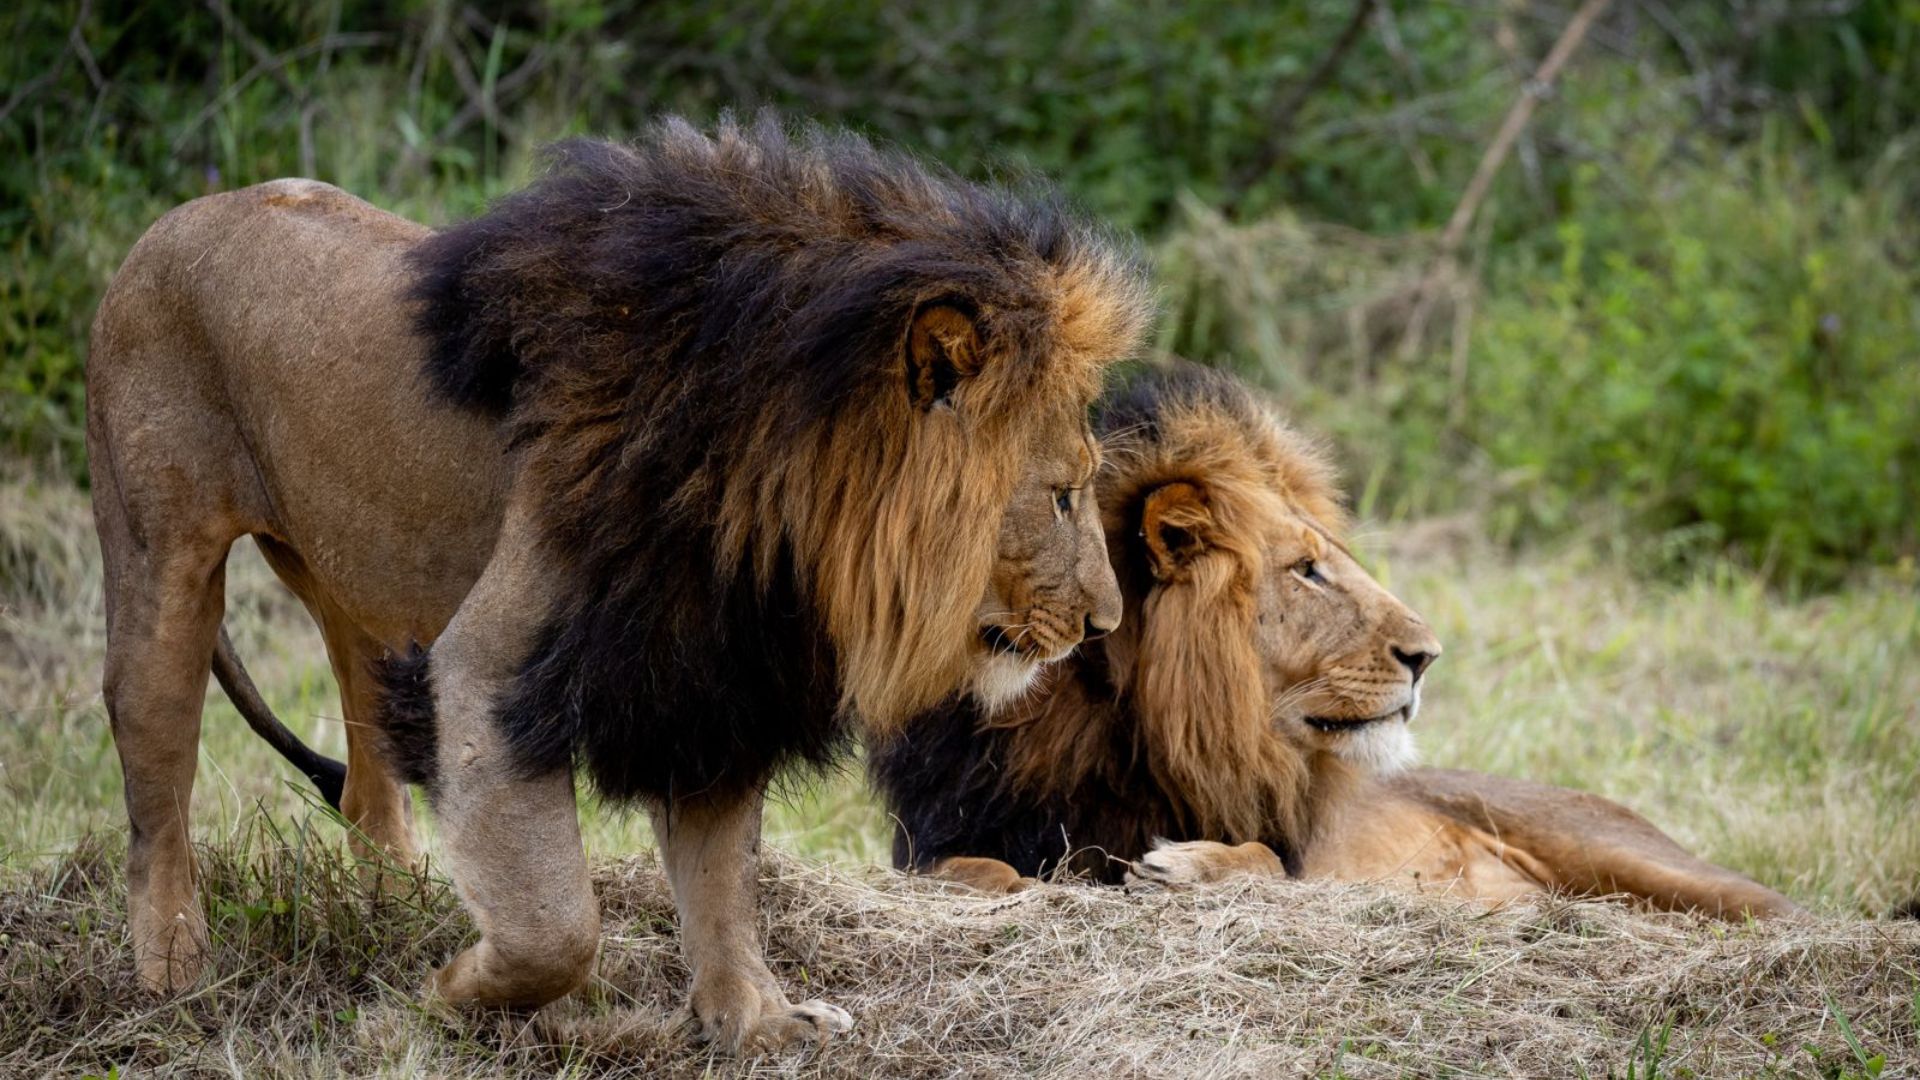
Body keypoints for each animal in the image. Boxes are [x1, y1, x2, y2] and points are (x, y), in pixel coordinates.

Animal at [87, 115, 1147, 1050]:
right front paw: (452, 993)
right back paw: (174, 972)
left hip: (355, 590)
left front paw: (754, 1020)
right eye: (1063, 495)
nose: (1106, 622)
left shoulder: (714, 672)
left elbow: (721, 880)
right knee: (155, 779)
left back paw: (392, 903)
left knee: (364, 772)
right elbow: (558, 924)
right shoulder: (492, 670)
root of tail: (175, 219)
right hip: (161, 561)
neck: (775, 498)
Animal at [872, 362, 1800, 920]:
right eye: (1307, 570)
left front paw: (1186, 866)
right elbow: (968, 872)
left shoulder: (1300, 856)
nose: (1428, 656)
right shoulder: (936, 836)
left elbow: (1262, 860)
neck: (1127, 730)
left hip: (1643, 860)